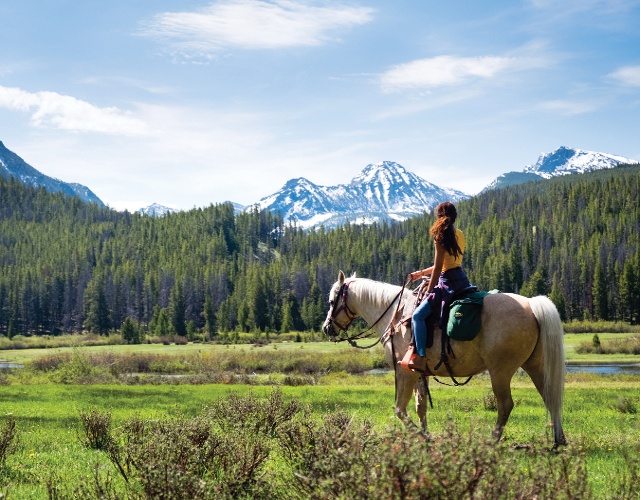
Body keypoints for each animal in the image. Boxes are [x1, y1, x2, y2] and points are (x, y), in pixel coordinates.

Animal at [322, 272, 568, 448]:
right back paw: (559, 441)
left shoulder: (405, 373)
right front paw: (425, 434)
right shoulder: (420, 373)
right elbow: (421, 407)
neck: (397, 315)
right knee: (550, 397)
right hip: (535, 365)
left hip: (500, 371)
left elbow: (400, 410)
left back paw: (492, 440)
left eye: (332, 301)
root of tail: (531, 305)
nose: (327, 328)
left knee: (506, 405)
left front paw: (419, 436)